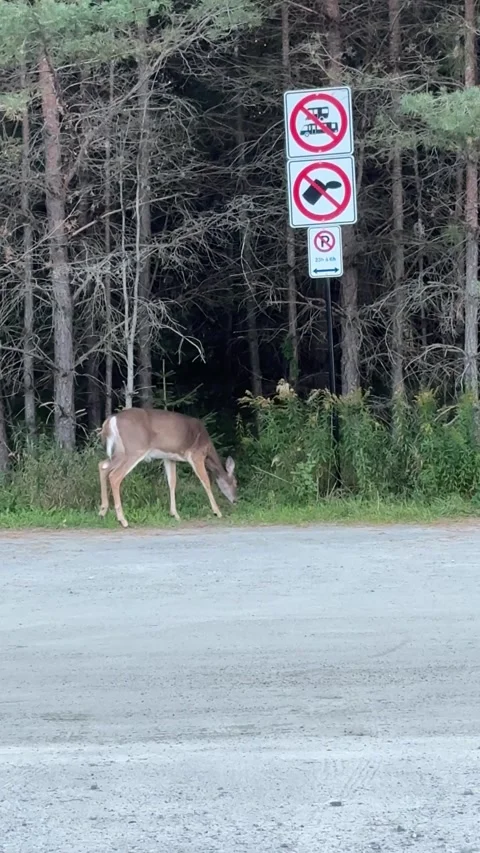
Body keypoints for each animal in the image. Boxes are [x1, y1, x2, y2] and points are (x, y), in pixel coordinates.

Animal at [98, 407, 237, 528]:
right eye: (236, 483)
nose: (235, 500)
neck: (207, 447)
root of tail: (110, 420)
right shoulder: (196, 455)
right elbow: (206, 482)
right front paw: (217, 511)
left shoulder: (169, 458)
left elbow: (172, 483)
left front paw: (175, 514)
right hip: (134, 449)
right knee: (114, 475)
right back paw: (122, 520)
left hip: (120, 451)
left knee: (102, 465)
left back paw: (102, 511)